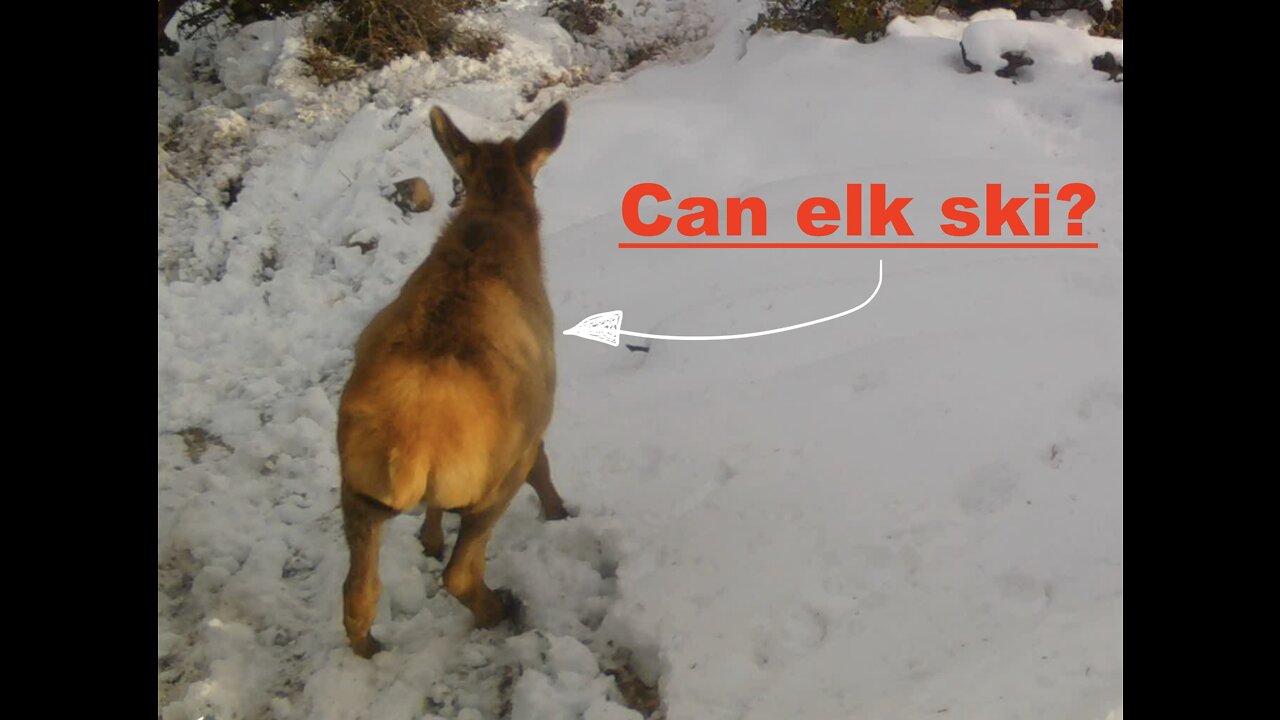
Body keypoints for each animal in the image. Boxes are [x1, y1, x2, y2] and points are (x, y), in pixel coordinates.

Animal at [335, 101, 570, 655]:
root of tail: (408, 454)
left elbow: (432, 516)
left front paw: (429, 538)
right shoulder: (536, 420)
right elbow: (544, 470)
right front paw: (560, 514)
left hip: (355, 485)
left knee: (358, 594)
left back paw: (371, 648)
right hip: (493, 479)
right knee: (461, 574)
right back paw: (502, 608)